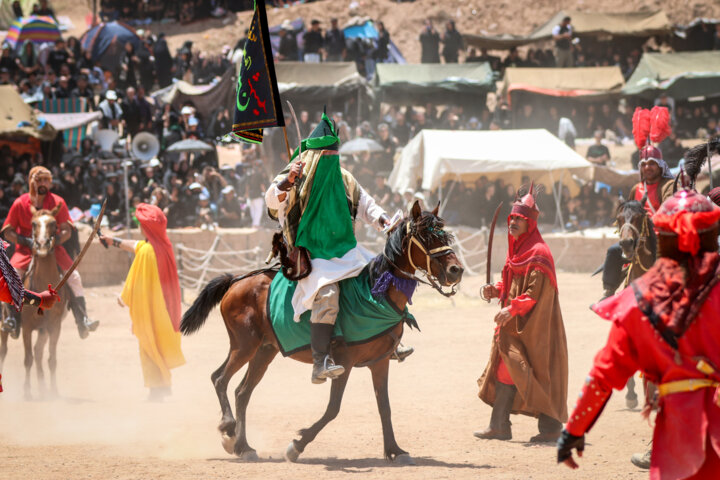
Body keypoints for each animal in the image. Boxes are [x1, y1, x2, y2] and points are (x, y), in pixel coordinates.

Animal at [0, 204, 69, 400]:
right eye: (33, 224)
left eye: (53, 223)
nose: (42, 245)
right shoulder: (27, 327)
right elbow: (28, 359)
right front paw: (26, 391)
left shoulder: (54, 326)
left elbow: (51, 359)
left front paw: (53, 391)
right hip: (5, 326)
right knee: (4, 351)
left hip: (43, 330)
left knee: (39, 353)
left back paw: (44, 387)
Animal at [179, 202, 462, 464]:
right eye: (426, 237)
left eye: (446, 236)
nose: (456, 270)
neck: (374, 294)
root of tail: (237, 281)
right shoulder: (344, 363)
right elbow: (333, 409)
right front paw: (297, 445)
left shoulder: (380, 362)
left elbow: (385, 407)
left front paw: (395, 450)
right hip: (244, 345)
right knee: (219, 379)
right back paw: (229, 428)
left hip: (264, 350)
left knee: (242, 393)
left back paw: (243, 446)